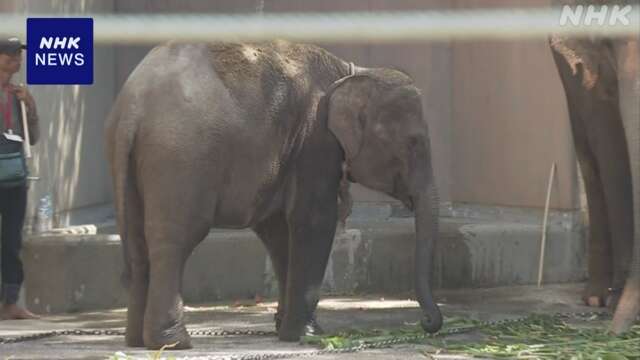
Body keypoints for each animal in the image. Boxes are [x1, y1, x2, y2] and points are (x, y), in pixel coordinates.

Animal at [107, 40, 442, 350]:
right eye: (414, 142)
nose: (427, 323)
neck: (351, 72)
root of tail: (133, 106)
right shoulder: (315, 140)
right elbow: (314, 221)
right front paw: (306, 335)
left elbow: (277, 231)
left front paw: (292, 329)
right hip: (181, 160)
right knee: (175, 242)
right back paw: (173, 342)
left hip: (133, 162)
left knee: (136, 243)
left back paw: (136, 341)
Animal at [548, 0, 636, 334]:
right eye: (610, 41)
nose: (616, 333)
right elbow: (613, 149)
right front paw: (617, 303)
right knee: (590, 159)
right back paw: (598, 298)